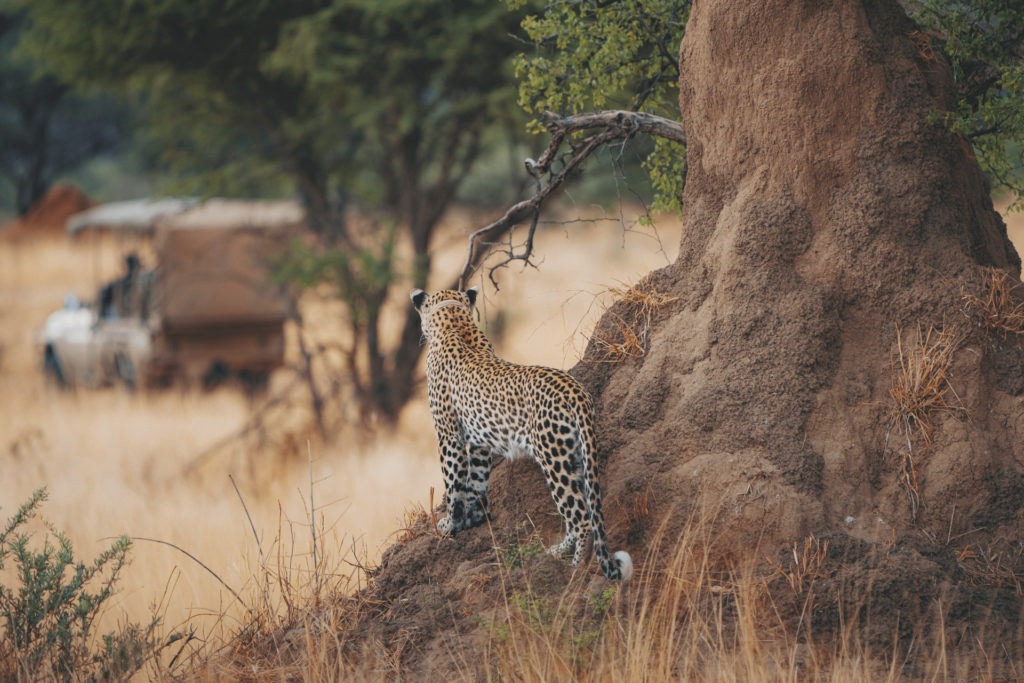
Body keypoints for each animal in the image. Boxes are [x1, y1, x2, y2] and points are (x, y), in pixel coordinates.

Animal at [407, 286, 630, 581]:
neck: (455, 321)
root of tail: (576, 391)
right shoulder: (479, 443)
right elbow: (477, 481)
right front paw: (474, 518)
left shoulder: (449, 435)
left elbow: (454, 483)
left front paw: (451, 524)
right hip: (575, 456)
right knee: (579, 510)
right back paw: (558, 553)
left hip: (554, 458)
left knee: (580, 516)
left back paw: (573, 568)